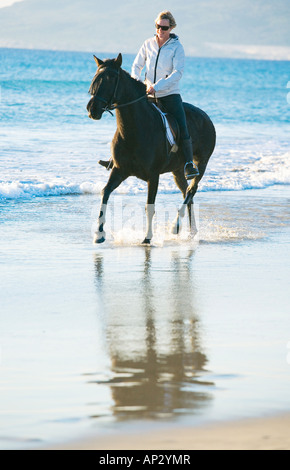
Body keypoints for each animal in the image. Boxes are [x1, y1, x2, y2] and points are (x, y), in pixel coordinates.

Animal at [86, 54, 215, 246]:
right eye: (96, 76)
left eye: (111, 78)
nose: (92, 109)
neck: (134, 130)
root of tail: (207, 118)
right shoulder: (119, 170)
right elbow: (105, 193)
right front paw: (99, 234)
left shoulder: (153, 176)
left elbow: (150, 206)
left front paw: (147, 237)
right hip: (177, 171)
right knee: (187, 193)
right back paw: (191, 232)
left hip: (202, 164)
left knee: (191, 190)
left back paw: (175, 226)